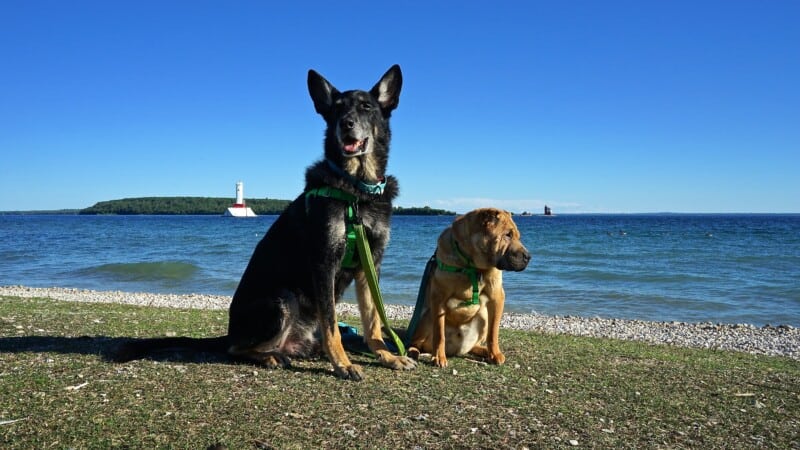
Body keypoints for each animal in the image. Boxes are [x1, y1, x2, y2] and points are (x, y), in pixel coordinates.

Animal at [120, 63, 418, 380]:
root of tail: (230, 332)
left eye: (366, 107)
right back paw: (271, 356)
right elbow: (332, 326)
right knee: (235, 349)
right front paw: (343, 363)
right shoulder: (324, 262)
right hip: (282, 299)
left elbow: (373, 322)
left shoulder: (370, 264)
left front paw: (388, 357)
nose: (346, 124)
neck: (356, 190)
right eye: (336, 110)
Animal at [406, 209, 532, 368]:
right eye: (507, 235)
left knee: (474, 345)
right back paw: (413, 352)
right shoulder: (438, 298)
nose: (528, 257)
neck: (471, 265)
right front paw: (439, 357)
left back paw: (485, 351)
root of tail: (455, 349)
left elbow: (493, 332)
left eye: (517, 236)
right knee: (416, 342)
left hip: (483, 316)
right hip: (427, 315)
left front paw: (495, 354)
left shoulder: (497, 297)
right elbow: (439, 334)